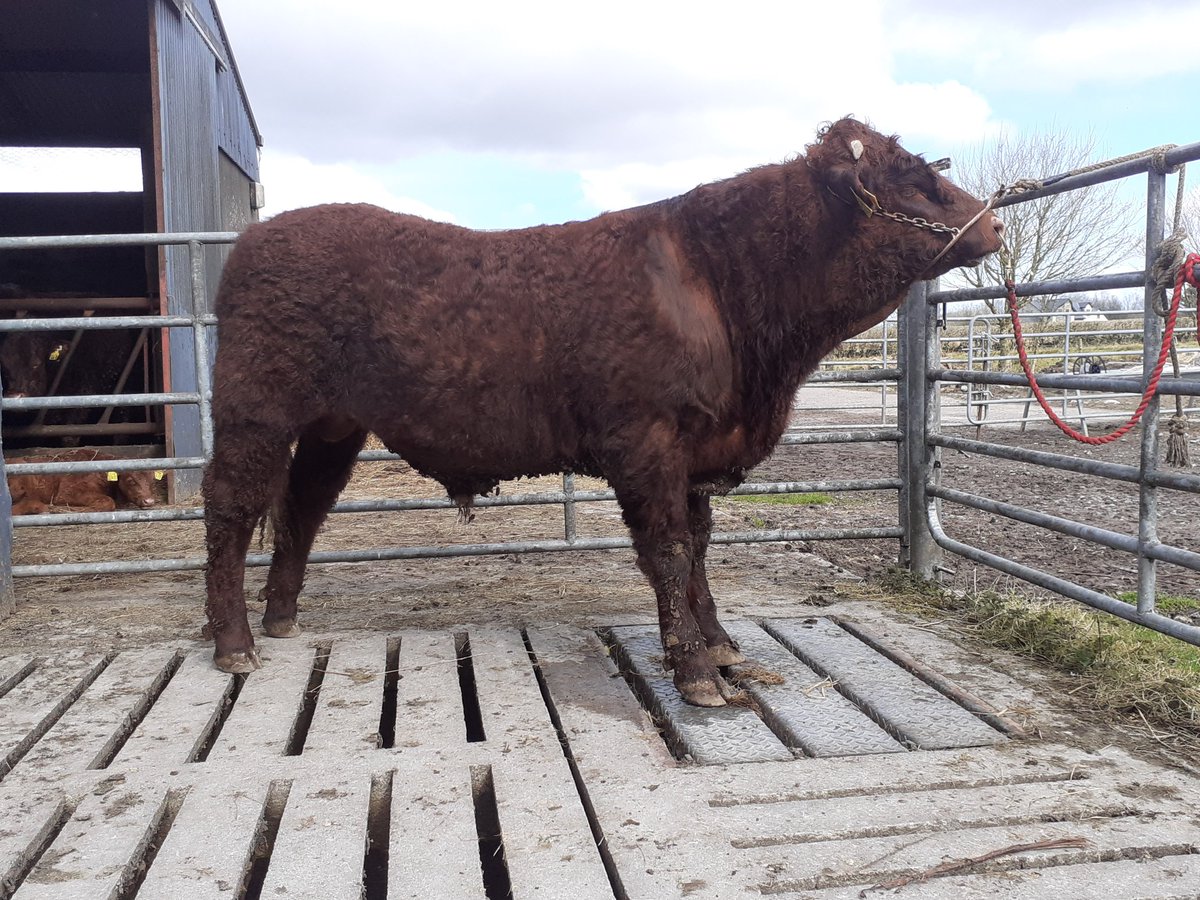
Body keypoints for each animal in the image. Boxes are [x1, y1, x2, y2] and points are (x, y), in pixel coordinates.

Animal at [202, 117, 1004, 706]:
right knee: (231, 508)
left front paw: (719, 646)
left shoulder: (697, 452)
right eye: (917, 181)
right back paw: (234, 643)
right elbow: (669, 550)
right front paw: (695, 673)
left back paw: (280, 617)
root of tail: (258, 238)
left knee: (304, 506)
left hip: (333, 425)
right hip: (254, 411)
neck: (716, 286)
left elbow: (698, 549)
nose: (994, 226)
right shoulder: (647, 442)